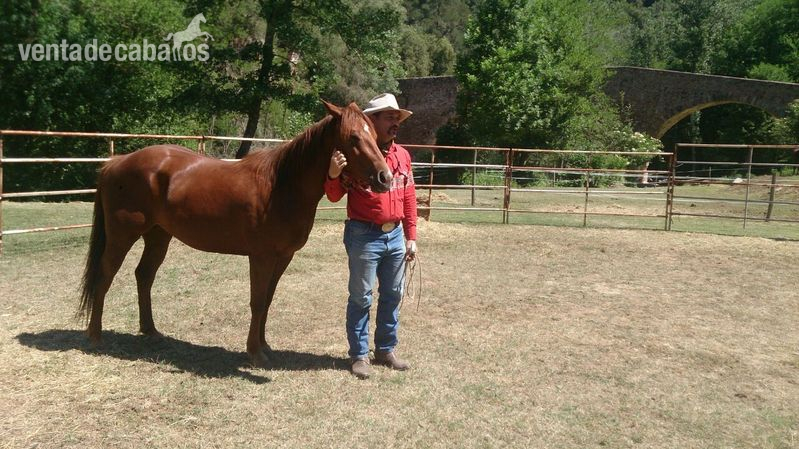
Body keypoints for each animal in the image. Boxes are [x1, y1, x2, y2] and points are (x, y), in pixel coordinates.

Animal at [78, 101, 391, 367]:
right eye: (353, 138)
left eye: (374, 135)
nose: (385, 178)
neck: (280, 186)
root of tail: (116, 162)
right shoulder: (261, 257)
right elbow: (257, 301)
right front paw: (254, 353)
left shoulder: (283, 257)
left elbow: (268, 300)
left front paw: (265, 346)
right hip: (122, 235)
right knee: (105, 276)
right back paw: (95, 337)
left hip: (158, 236)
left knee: (144, 275)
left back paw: (151, 330)